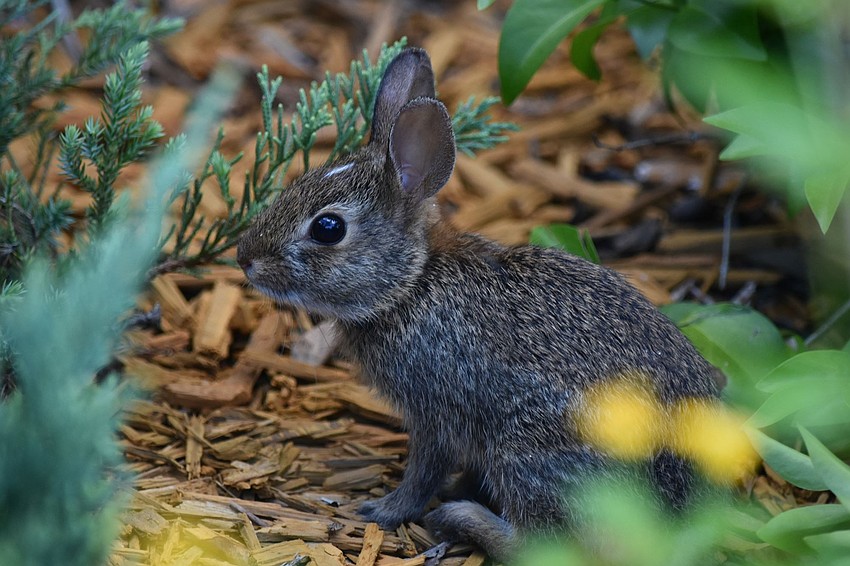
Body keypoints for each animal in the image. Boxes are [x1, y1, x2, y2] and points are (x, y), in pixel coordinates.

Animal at [236, 47, 720, 562]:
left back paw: (459, 518)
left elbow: (425, 471)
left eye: (328, 228)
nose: (245, 257)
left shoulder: (435, 409)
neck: (411, 284)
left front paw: (382, 510)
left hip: (529, 449)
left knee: (537, 540)